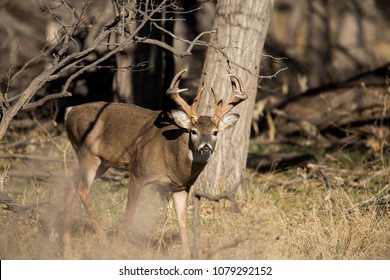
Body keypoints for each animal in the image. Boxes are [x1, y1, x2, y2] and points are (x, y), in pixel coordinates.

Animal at [63, 68, 247, 258]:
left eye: (215, 132)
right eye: (193, 131)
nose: (205, 149)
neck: (173, 159)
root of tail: (69, 113)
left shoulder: (181, 187)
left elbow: (182, 221)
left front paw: (186, 255)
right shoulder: (138, 173)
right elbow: (130, 213)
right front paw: (119, 248)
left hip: (102, 162)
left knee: (70, 182)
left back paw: (67, 247)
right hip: (88, 155)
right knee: (82, 189)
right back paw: (104, 240)